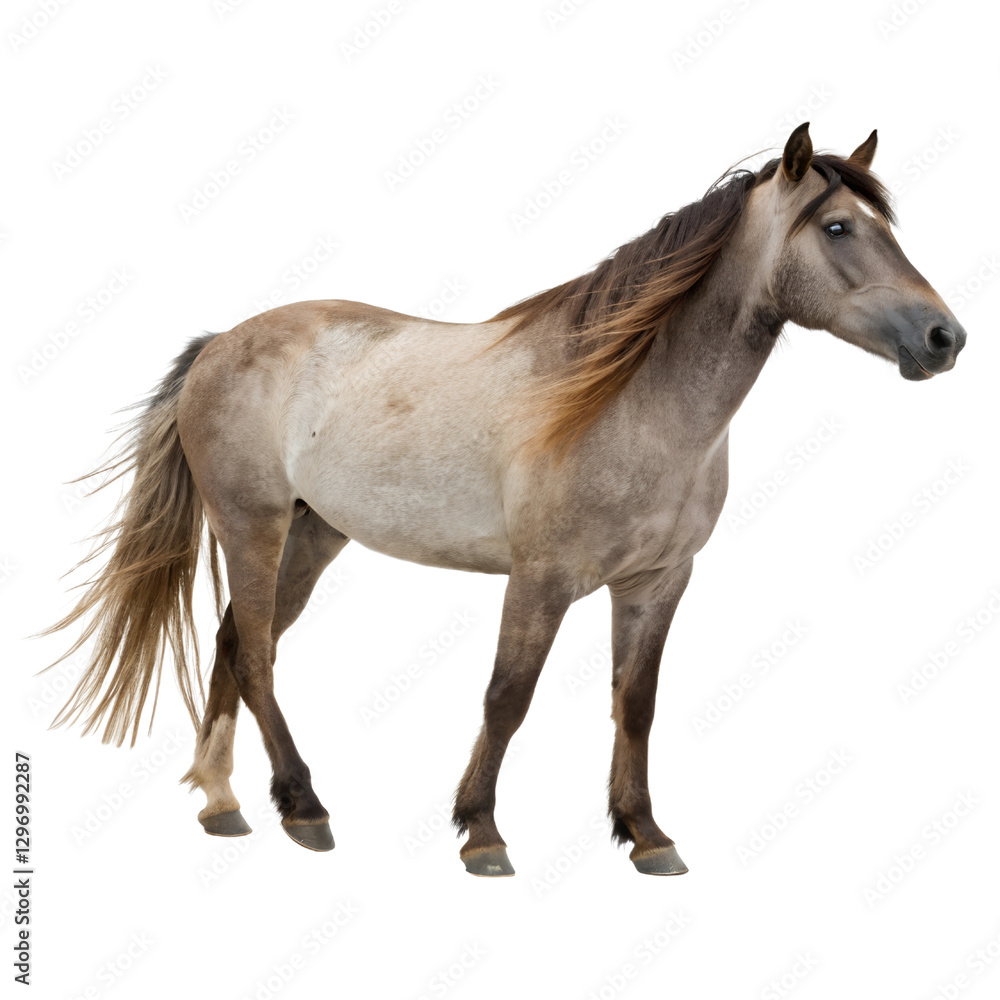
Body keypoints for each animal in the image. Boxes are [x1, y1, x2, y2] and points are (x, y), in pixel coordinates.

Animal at [43, 123, 966, 877]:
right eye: (839, 227)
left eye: (886, 226)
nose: (944, 338)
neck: (631, 401)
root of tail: (220, 345)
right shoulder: (541, 578)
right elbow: (507, 697)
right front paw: (481, 833)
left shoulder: (658, 582)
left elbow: (635, 705)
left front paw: (646, 835)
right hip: (253, 524)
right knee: (258, 654)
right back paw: (304, 808)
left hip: (313, 536)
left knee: (238, 640)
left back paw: (224, 803)